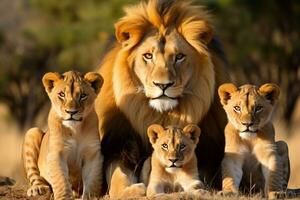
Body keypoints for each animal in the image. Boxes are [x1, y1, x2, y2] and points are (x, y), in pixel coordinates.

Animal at [95, 0, 227, 197]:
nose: (163, 85)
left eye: (179, 56)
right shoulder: (118, 145)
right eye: (148, 56)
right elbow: (117, 177)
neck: (161, 115)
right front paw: (131, 191)